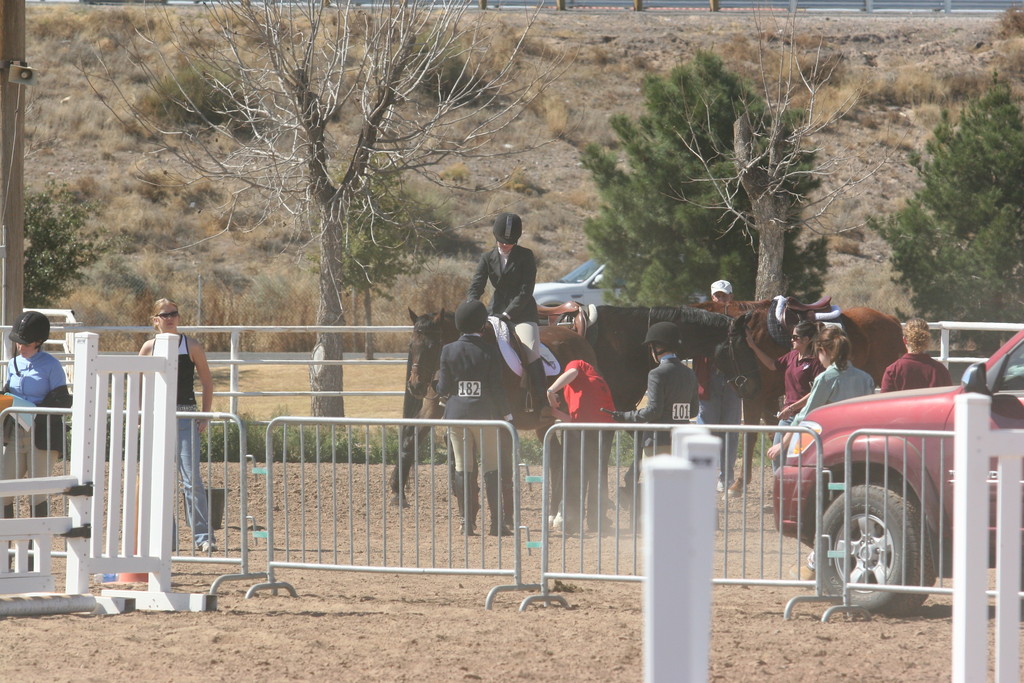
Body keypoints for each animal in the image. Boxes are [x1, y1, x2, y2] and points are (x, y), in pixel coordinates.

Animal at [391, 309, 598, 507]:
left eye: (432, 346)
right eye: (411, 346)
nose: (415, 386)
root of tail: (579, 339)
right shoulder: (435, 410)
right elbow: (411, 438)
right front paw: (397, 492)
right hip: (544, 424)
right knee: (557, 458)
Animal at [692, 299, 901, 485]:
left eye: (741, 348)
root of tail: (890, 319)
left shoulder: (755, 397)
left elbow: (751, 436)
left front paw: (739, 484)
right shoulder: (767, 399)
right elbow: (773, 432)